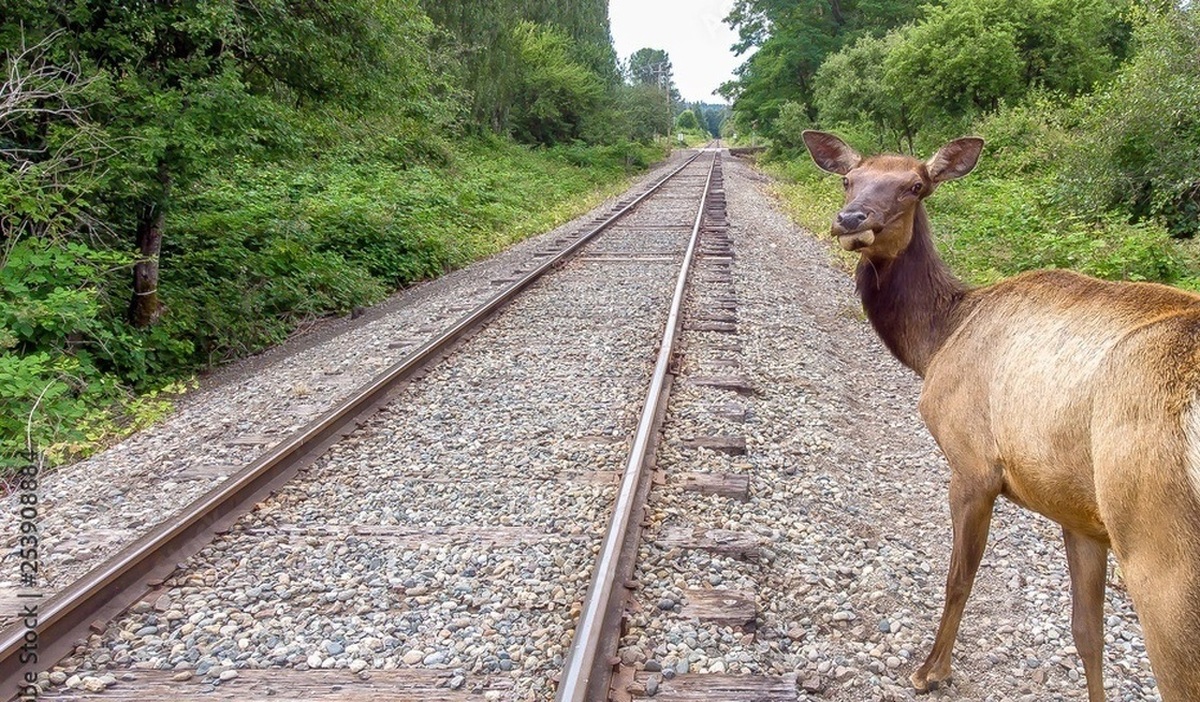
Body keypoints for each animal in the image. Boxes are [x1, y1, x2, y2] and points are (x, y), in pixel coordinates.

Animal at [801, 128, 1200, 696]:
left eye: (916, 186)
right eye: (848, 178)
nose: (852, 219)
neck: (938, 340)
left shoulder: (973, 464)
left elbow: (958, 579)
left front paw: (931, 670)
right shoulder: (1077, 510)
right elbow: (1087, 633)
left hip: (1159, 552)